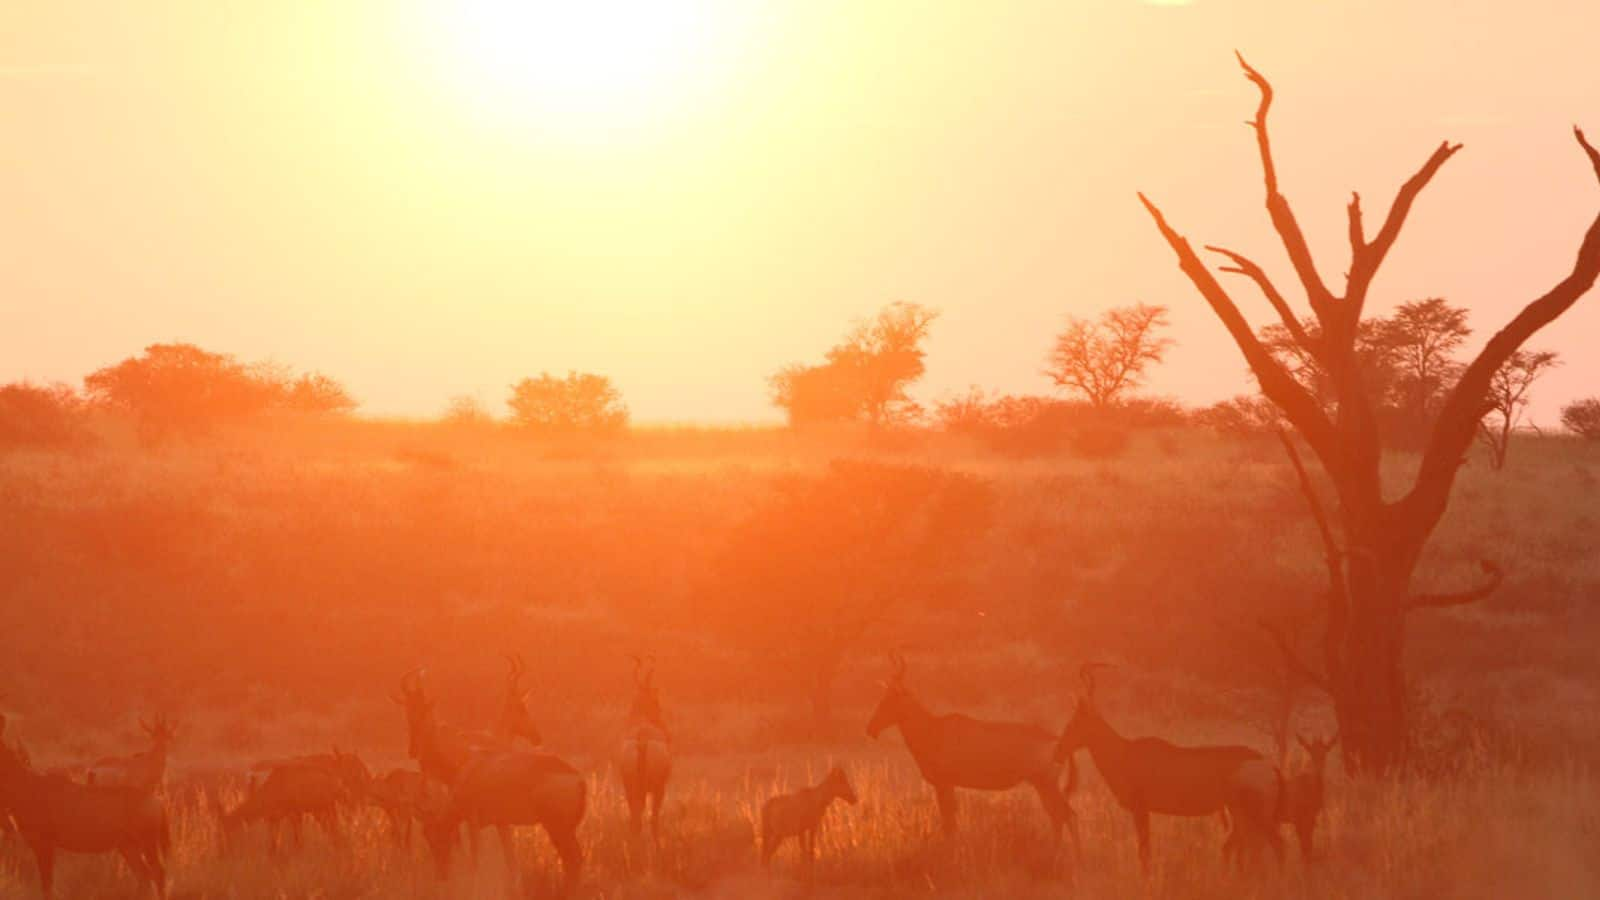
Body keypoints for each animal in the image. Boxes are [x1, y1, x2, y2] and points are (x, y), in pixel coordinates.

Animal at [0, 711, 168, 890]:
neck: (28, 784)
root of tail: (157, 803)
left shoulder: (44, 845)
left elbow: (47, 886)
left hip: (147, 844)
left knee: (158, 873)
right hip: (128, 847)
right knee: (144, 877)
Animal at [608, 650, 665, 832]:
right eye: (656, 700)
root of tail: (642, 739)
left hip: (631, 786)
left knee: (635, 818)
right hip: (655, 788)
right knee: (651, 818)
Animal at [864, 646, 1075, 845]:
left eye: (890, 699)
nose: (871, 729)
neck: (934, 730)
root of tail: (1056, 740)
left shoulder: (944, 784)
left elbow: (949, 822)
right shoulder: (948, 785)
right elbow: (950, 821)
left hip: (1045, 783)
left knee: (1063, 814)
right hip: (1043, 784)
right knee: (1060, 814)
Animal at [1056, 662, 1267, 864]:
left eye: (1073, 722)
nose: (1059, 750)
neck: (1124, 753)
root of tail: (1259, 758)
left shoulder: (1140, 809)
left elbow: (1144, 853)